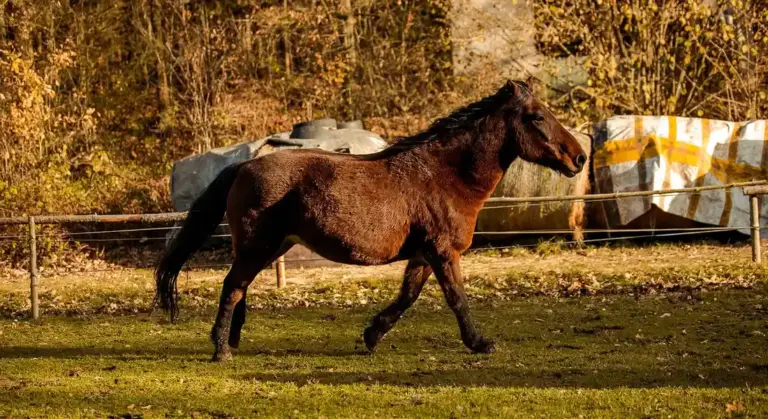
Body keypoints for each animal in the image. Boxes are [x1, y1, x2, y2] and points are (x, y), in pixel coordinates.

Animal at [155, 79, 587, 362]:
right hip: (258, 245)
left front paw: (372, 335)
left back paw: (233, 341)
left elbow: (407, 296)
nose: (579, 157)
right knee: (232, 287)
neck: (444, 176)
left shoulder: (424, 255)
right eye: (536, 117)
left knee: (240, 287)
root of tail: (243, 165)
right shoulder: (444, 253)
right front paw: (480, 343)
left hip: (269, 246)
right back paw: (221, 349)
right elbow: (457, 298)